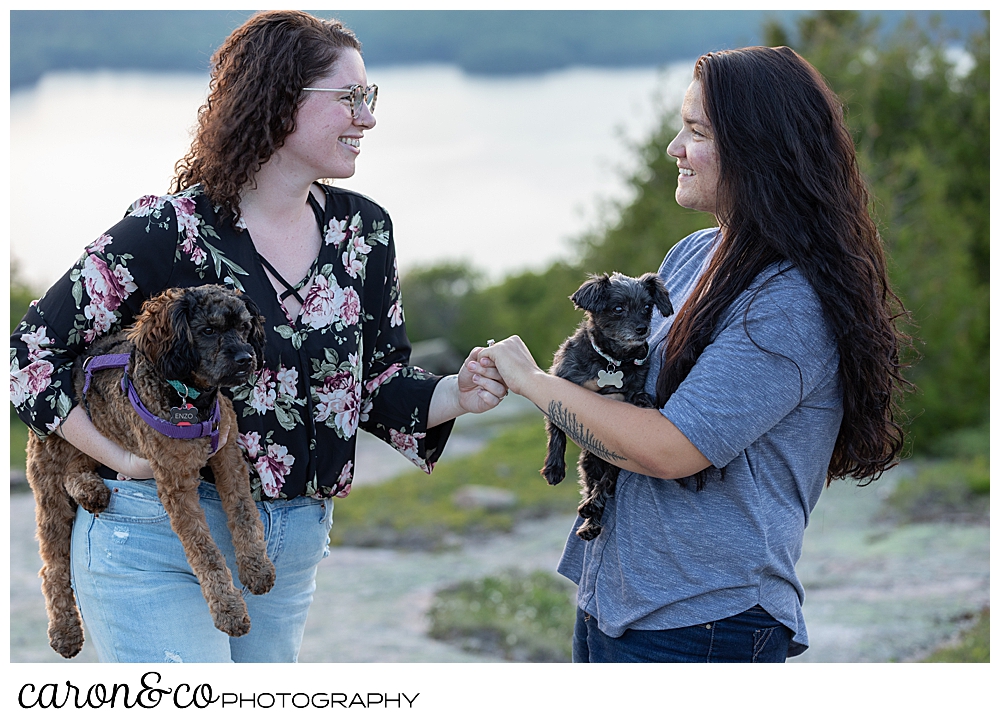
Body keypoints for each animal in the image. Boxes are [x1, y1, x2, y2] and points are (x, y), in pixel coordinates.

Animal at [27, 286, 278, 660]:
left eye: (245, 327)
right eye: (208, 330)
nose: (246, 359)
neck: (189, 398)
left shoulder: (229, 456)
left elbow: (244, 514)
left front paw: (256, 567)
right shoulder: (177, 484)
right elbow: (205, 552)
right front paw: (228, 609)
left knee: (78, 469)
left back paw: (91, 489)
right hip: (49, 485)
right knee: (52, 568)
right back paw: (64, 631)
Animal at [544, 274, 676, 540]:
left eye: (647, 307)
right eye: (618, 308)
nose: (642, 329)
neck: (612, 360)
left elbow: (637, 396)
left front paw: (644, 400)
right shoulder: (562, 382)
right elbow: (557, 432)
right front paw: (554, 468)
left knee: (607, 480)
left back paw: (591, 511)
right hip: (589, 463)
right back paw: (590, 521)